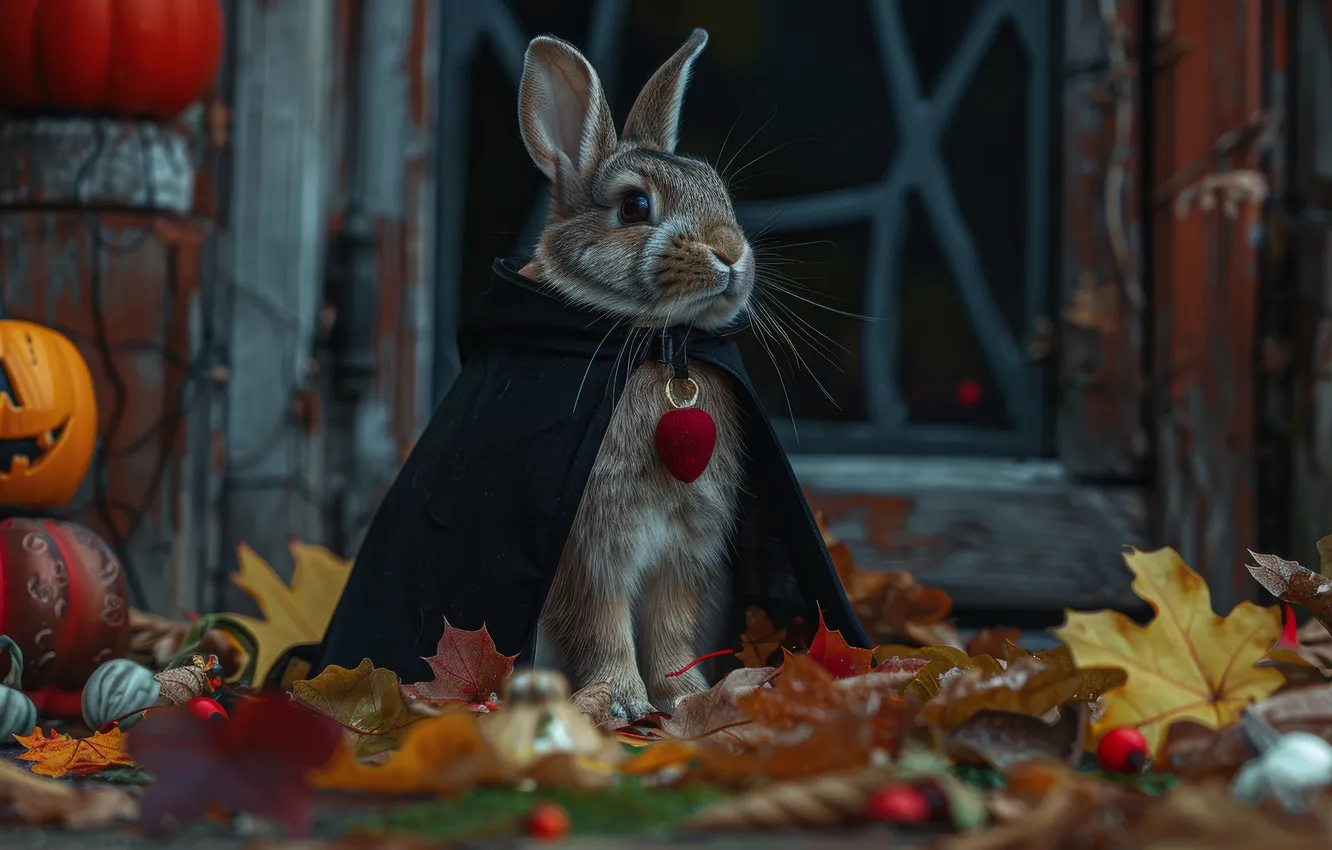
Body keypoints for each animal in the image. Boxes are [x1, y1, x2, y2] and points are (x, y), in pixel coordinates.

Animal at [517, 28, 756, 720]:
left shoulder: (686, 549)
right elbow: (602, 624)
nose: (731, 252)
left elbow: (671, 625)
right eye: (635, 206)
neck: (657, 342)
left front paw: (685, 695)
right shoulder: (589, 550)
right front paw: (623, 701)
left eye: (718, 190)